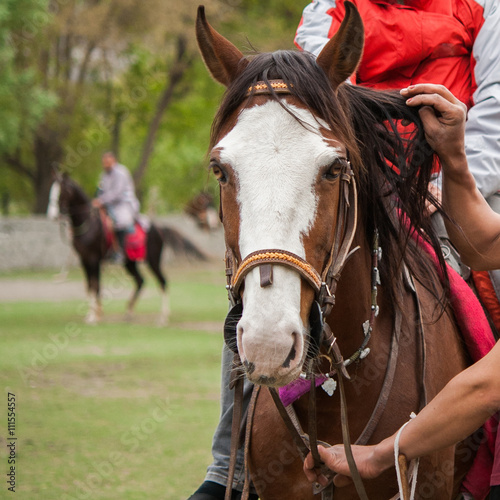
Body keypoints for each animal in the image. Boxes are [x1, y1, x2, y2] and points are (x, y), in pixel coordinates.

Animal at [46, 174, 204, 326]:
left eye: (62, 192)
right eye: (52, 190)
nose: (52, 215)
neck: (88, 223)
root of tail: (158, 228)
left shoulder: (94, 259)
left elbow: (95, 287)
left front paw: (94, 318)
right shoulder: (84, 260)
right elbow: (90, 287)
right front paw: (92, 315)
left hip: (153, 261)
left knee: (163, 282)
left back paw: (163, 318)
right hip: (130, 263)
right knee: (140, 281)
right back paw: (129, 312)